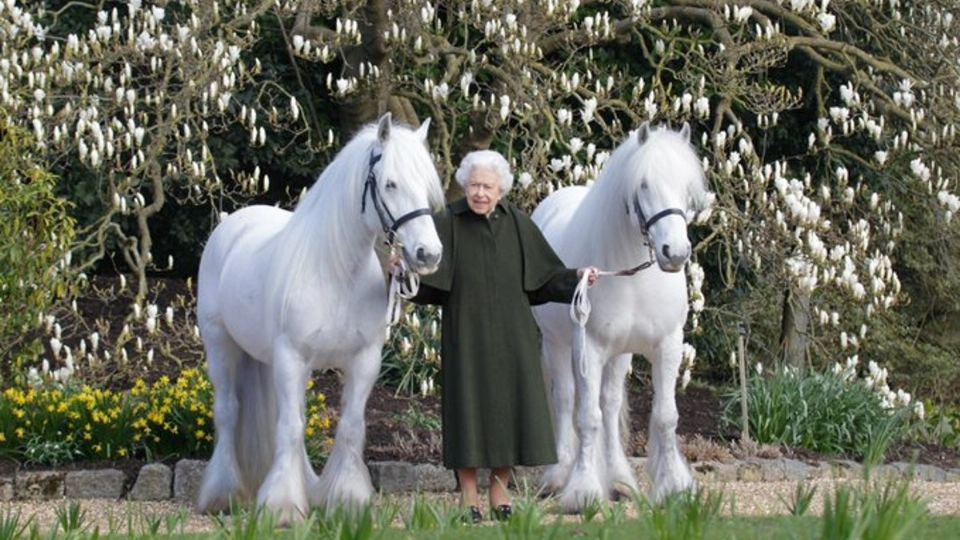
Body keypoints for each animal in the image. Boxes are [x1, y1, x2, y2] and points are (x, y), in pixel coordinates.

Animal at [196, 115, 450, 524]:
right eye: (390, 183)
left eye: (427, 186)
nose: (428, 254)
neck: (335, 273)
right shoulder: (291, 357)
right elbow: (289, 428)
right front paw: (282, 507)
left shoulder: (363, 361)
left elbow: (348, 427)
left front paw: (347, 500)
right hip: (221, 346)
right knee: (229, 412)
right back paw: (223, 494)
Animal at [532, 121, 712, 510]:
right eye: (643, 184)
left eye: (686, 187)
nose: (675, 253)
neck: (634, 276)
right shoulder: (589, 348)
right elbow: (587, 418)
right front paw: (583, 491)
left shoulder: (667, 345)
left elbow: (664, 416)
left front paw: (674, 487)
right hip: (557, 345)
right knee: (566, 400)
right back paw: (559, 476)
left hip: (620, 354)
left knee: (611, 404)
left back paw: (618, 480)